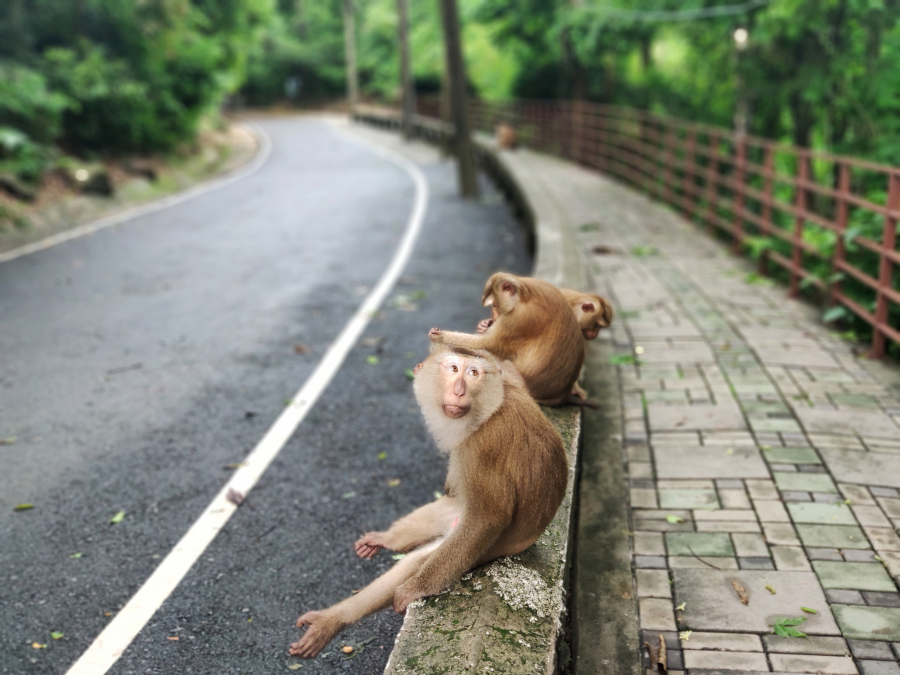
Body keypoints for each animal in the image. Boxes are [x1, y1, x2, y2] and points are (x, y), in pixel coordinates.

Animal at [292, 338, 568, 660]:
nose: (459, 390)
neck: (491, 407)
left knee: (432, 556)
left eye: (473, 373)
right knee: (415, 556)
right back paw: (333, 618)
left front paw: (413, 591)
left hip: (484, 550)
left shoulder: (484, 446)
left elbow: (489, 518)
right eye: (453, 369)